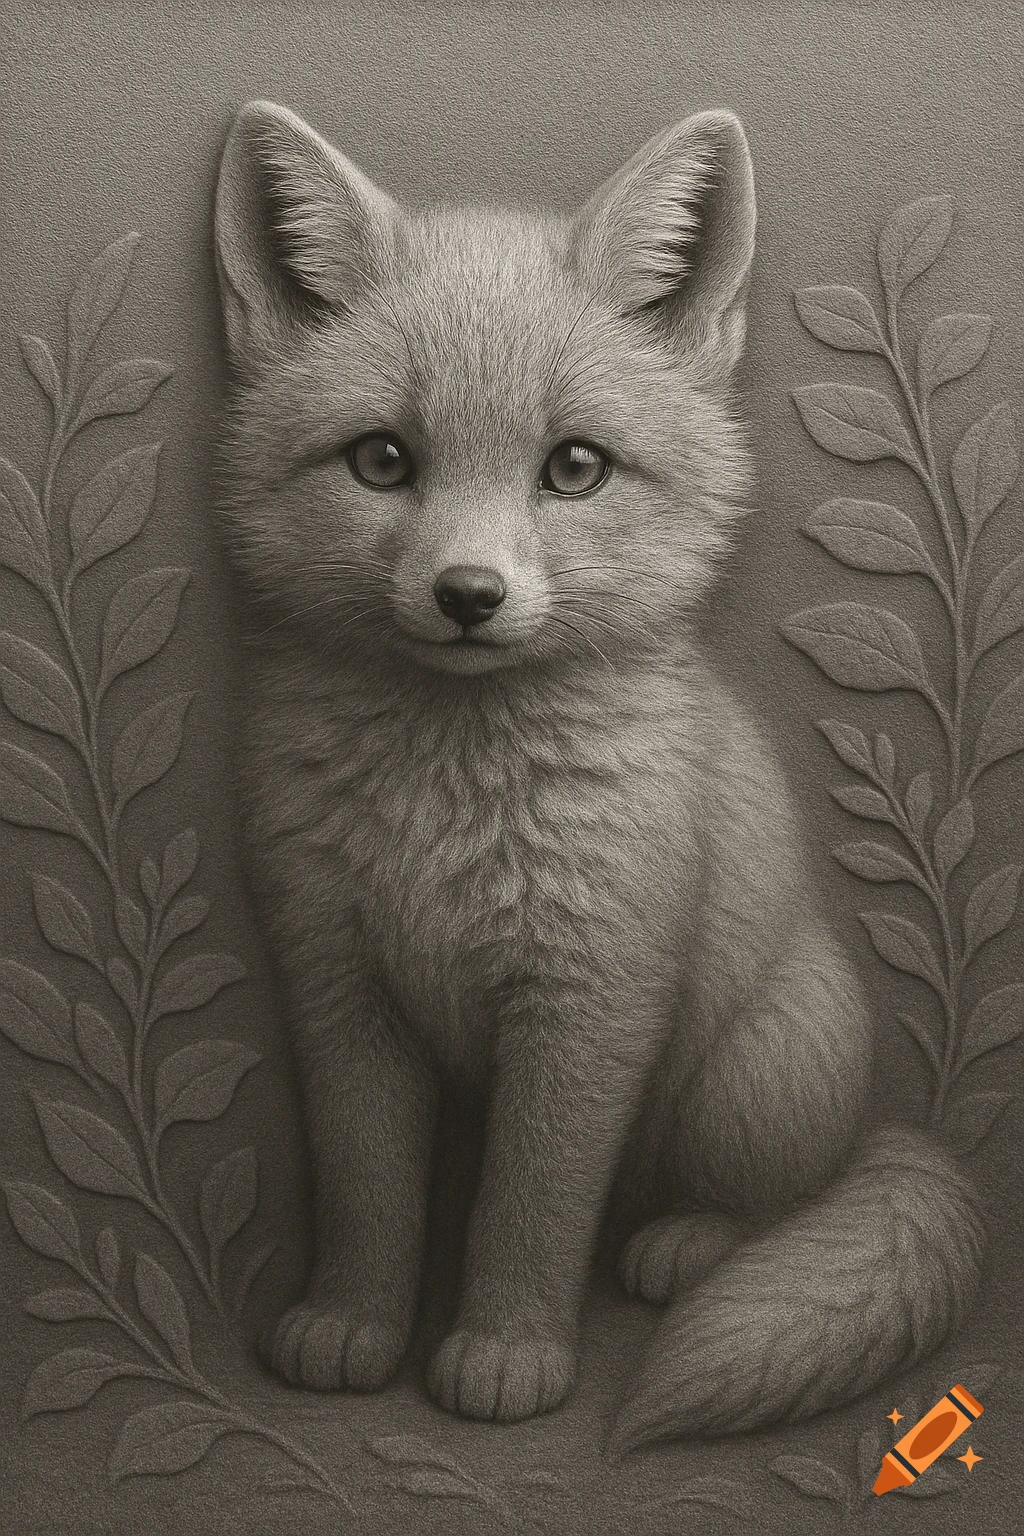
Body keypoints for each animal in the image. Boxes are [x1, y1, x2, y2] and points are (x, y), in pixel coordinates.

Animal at [211, 98, 984, 1451]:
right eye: (381, 461)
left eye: (573, 468)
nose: (468, 596)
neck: (449, 815)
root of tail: (881, 1132)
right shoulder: (336, 983)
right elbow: (367, 1192)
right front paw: (351, 1328)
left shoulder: (591, 997)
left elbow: (531, 1207)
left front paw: (505, 1356)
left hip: (752, 1076)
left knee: (764, 1202)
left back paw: (689, 1246)